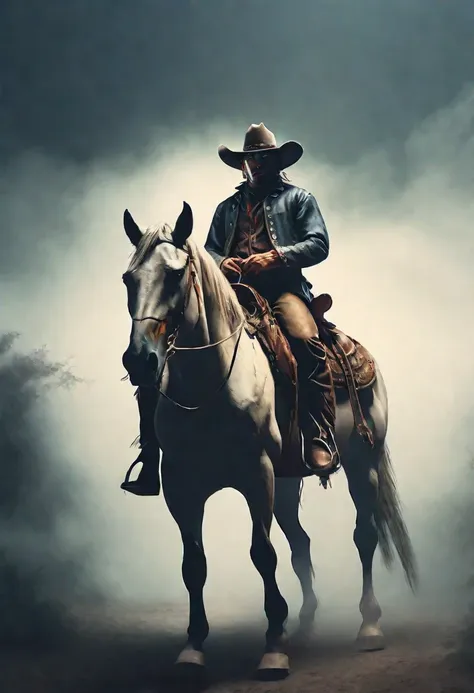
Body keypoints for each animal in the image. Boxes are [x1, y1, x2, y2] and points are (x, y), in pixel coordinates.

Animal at [120, 203, 416, 680]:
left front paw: (273, 647)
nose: (140, 360)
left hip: (362, 465)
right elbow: (194, 564)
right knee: (301, 544)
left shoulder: (257, 475)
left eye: (175, 275)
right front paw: (193, 648)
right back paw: (306, 624)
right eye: (129, 279)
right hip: (289, 481)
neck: (211, 385)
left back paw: (369, 626)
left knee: (364, 535)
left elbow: (263, 554)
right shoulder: (181, 485)